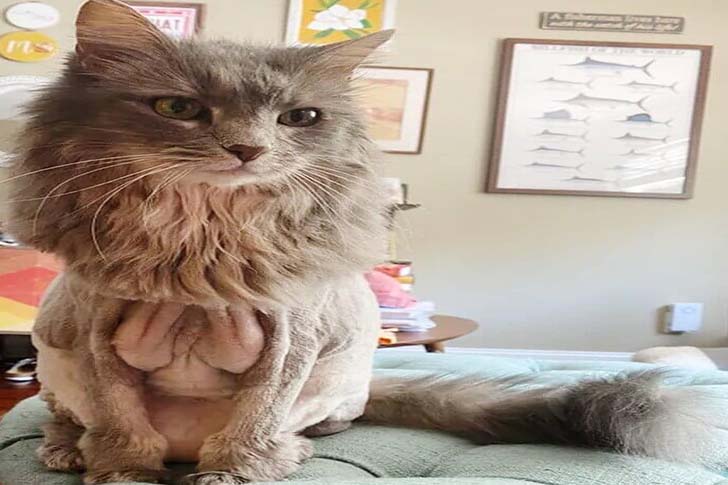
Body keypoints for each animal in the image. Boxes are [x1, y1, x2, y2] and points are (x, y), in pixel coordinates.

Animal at [5, 1, 727, 484]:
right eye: (178, 109)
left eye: (299, 118)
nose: (247, 150)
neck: (205, 241)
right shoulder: (95, 340)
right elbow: (121, 423)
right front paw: (119, 471)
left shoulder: (289, 344)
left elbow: (257, 421)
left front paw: (239, 470)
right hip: (56, 361)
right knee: (64, 414)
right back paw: (65, 448)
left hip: (342, 373)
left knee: (321, 425)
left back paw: (291, 452)